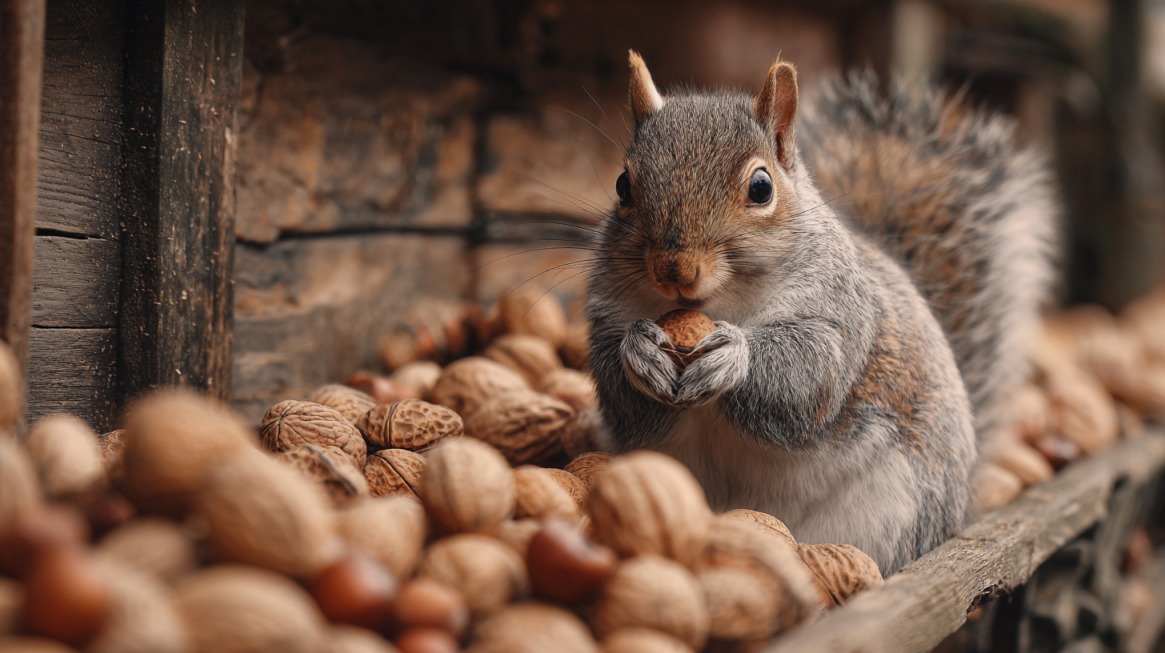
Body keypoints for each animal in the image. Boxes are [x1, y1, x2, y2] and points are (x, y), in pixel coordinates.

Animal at [586, 51, 1057, 575]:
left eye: (761, 187)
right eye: (623, 185)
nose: (675, 270)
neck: (721, 304)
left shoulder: (840, 316)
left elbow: (811, 379)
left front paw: (733, 357)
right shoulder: (607, 312)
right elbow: (618, 386)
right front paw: (639, 351)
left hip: (892, 508)